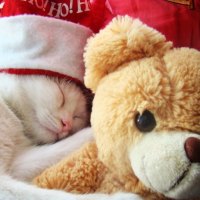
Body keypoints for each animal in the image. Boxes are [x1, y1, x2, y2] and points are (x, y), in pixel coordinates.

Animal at [0, 73, 142, 200]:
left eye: (76, 116)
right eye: (62, 97)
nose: (67, 124)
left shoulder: (17, 162)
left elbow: (64, 146)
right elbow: (48, 196)